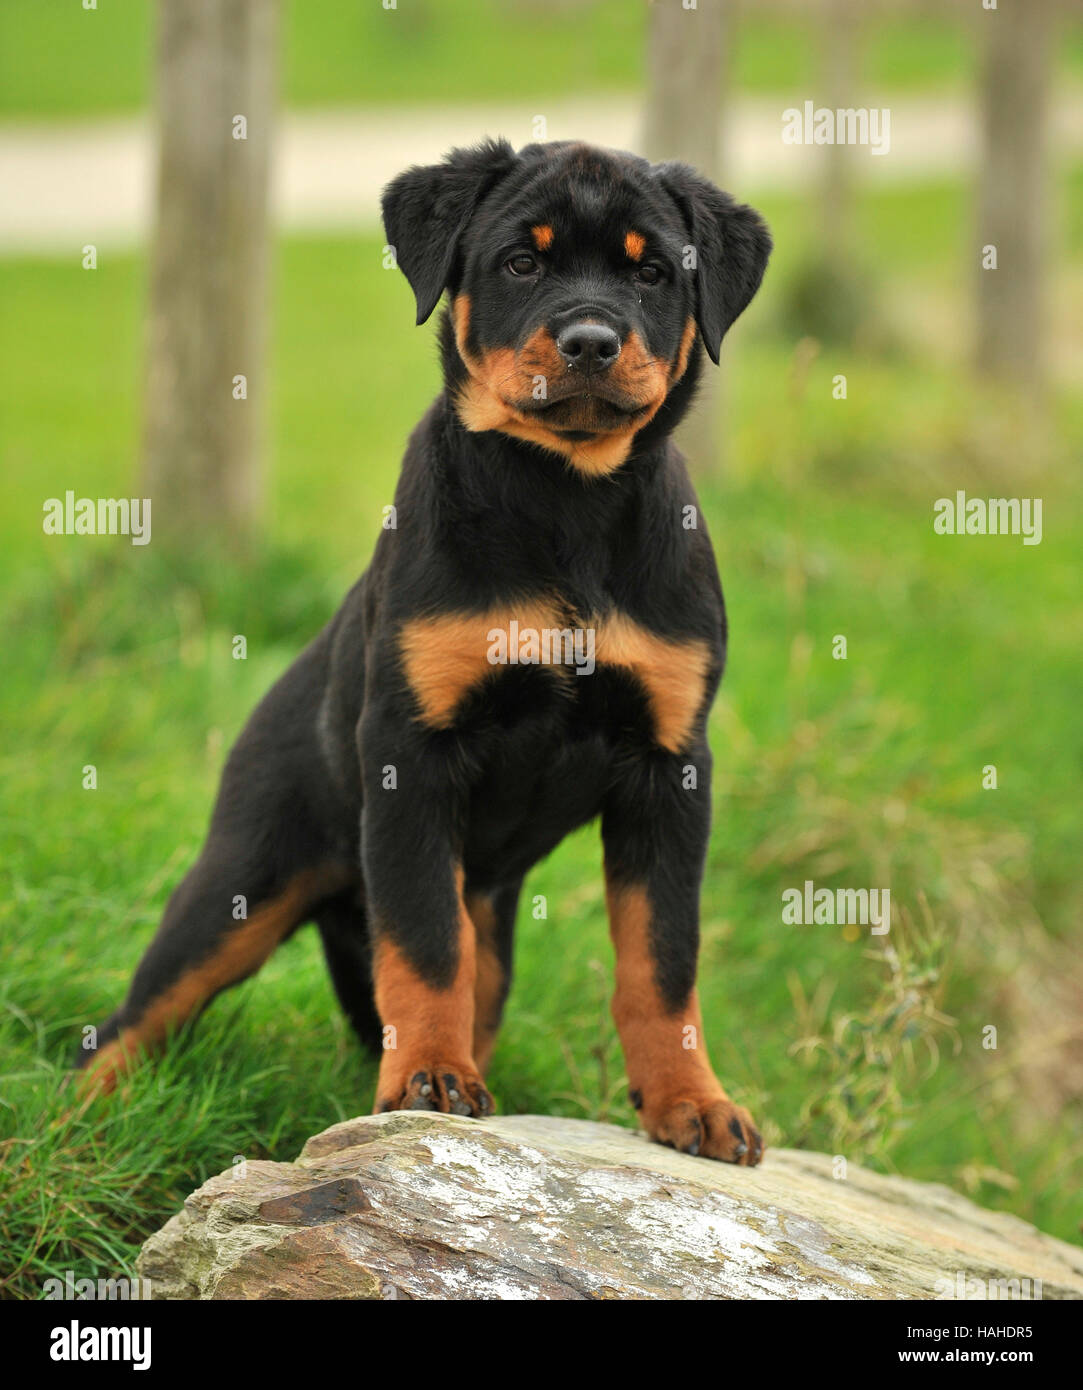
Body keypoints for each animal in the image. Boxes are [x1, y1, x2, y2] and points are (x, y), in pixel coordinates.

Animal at [78, 138, 772, 1162]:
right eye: (521, 263)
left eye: (651, 272)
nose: (590, 342)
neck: (566, 500)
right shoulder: (411, 753)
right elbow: (424, 944)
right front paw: (429, 1084)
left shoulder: (670, 765)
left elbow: (662, 957)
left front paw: (693, 1103)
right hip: (244, 876)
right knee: (139, 1014)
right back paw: (77, 1125)